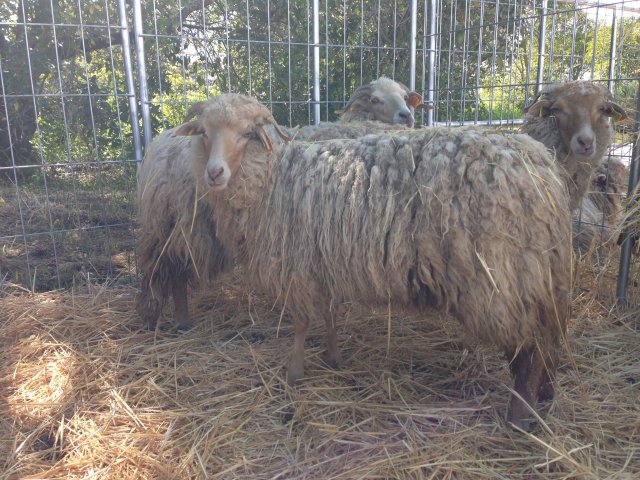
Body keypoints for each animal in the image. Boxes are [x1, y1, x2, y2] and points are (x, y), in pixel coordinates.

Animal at [136, 96, 292, 330]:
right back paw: (174, 320)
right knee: (169, 270)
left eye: (247, 133)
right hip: (173, 225)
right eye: (204, 132)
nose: (214, 172)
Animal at [178, 93, 572, 428]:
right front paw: (334, 357)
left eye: (248, 134)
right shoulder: (325, 261)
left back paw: (519, 417)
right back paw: (545, 395)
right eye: (204, 133)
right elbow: (330, 312)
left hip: (505, 279)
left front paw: (294, 373)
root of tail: (543, 168)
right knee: (547, 337)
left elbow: (302, 322)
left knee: (531, 348)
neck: (271, 175)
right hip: (539, 275)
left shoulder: (298, 266)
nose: (215, 173)